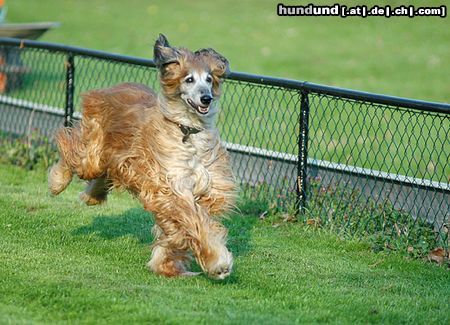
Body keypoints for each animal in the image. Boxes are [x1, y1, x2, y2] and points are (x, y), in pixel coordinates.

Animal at [48, 34, 237, 278]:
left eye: (209, 78)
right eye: (189, 80)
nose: (206, 98)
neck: (187, 132)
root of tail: (115, 86)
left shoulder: (205, 189)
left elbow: (181, 226)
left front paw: (166, 263)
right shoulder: (169, 185)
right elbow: (192, 221)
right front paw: (217, 262)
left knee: (102, 173)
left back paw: (92, 195)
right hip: (94, 153)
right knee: (72, 151)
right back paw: (57, 182)